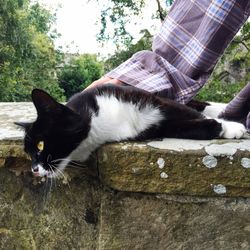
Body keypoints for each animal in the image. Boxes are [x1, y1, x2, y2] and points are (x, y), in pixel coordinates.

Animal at [15, 84, 246, 178]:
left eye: (40, 145)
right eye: (28, 154)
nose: (34, 169)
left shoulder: (152, 101)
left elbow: (185, 112)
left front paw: (231, 127)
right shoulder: (155, 128)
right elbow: (185, 127)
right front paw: (221, 126)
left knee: (195, 104)